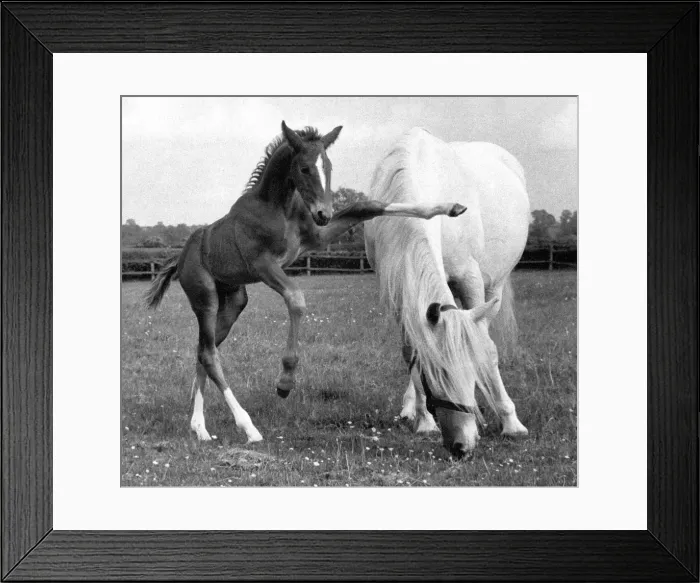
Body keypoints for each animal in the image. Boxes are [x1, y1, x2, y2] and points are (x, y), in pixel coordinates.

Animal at [145, 121, 467, 444]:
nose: (323, 213)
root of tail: (181, 257)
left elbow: (367, 205)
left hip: (234, 300)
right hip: (205, 297)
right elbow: (296, 299)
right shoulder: (264, 264)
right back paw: (247, 427)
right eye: (303, 168)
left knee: (203, 350)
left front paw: (451, 207)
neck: (281, 207)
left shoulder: (318, 237)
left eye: (328, 165)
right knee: (209, 354)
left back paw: (199, 427)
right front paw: (285, 381)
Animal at [364, 128, 530, 458]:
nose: (460, 446)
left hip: (493, 286)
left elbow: (486, 348)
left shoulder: (470, 279)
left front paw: (511, 422)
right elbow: (412, 352)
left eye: (469, 372)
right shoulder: (400, 291)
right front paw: (424, 419)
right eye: (433, 377)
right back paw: (409, 408)